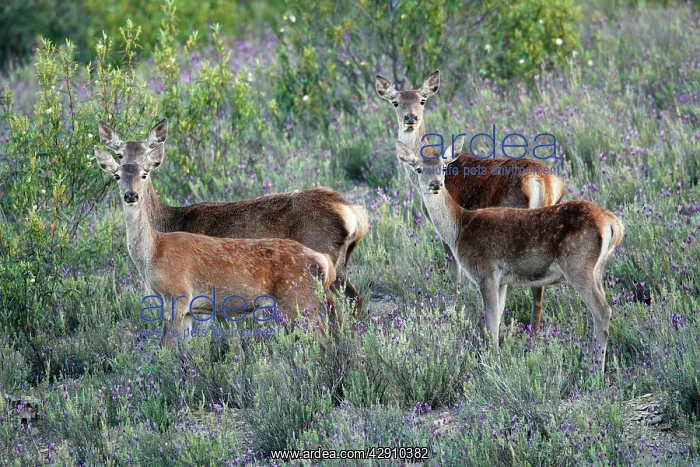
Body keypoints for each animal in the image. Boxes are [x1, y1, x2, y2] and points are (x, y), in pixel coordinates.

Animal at [94, 146, 338, 349]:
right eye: (116, 176)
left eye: (144, 175)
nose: (131, 195)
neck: (153, 252)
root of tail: (324, 262)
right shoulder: (190, 309)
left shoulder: (178, 295)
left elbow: (166, 348)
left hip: (300, 300)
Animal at [97, 119, 368, 315]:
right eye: (119, 154)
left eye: (148, 153)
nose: (131, 192)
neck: (168, 221)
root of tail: (351, 211)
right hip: (339, 266)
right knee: (356, 300)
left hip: (320, 256)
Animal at [376, 70, 566, 332]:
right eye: (396, 102)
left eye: (422, 100)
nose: (410, 118)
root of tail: (543, 182)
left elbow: (453, 268)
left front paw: (453, 300)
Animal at [396, 138, 624, 373]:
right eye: (419, 168)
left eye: (443, 167)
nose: (435, 184)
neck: (460, 228)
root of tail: (614, 224)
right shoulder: (502, 280)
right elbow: (498, 317)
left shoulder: (486, 272)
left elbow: (491, 323)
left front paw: (493, 363)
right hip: (598, 269)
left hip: (578, 265)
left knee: (602, 311)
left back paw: (595, 369)